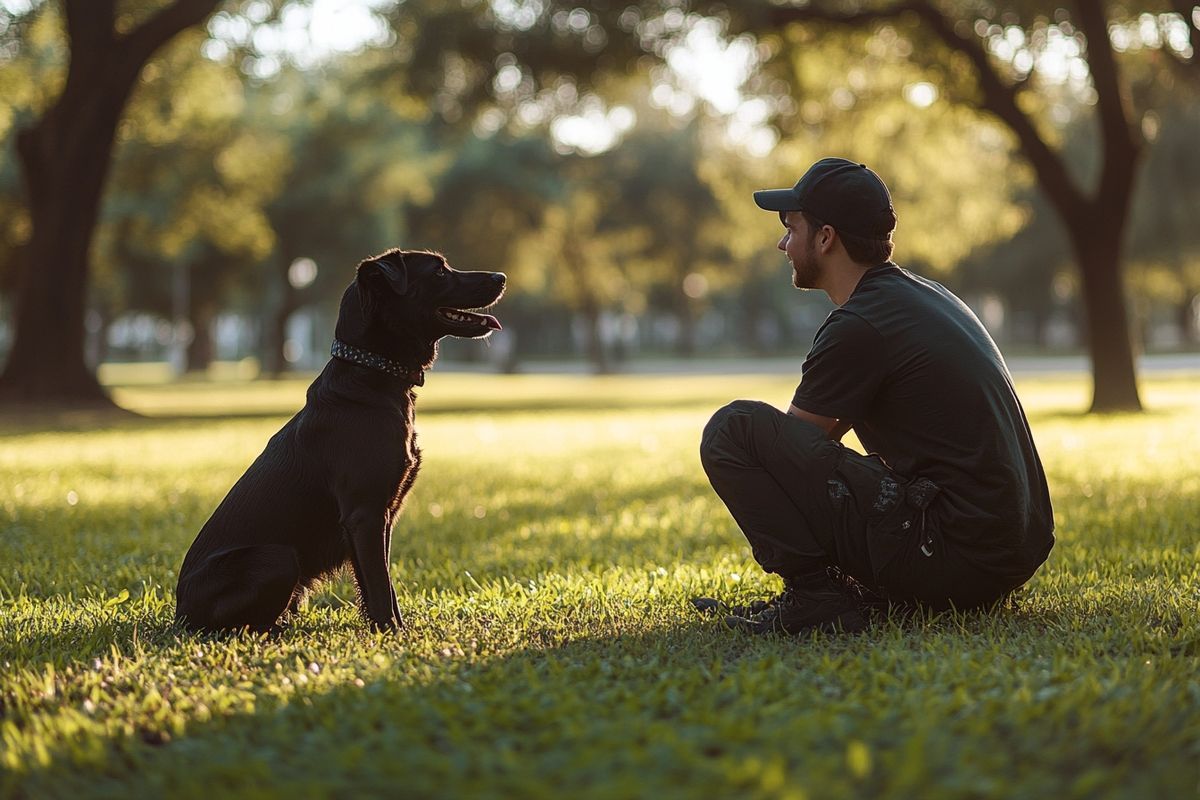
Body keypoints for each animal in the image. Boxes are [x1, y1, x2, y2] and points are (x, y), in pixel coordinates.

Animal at [174, 247, 501, 633]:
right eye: (438, 272)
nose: (500, 277)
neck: (372, 372)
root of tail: (180, 611)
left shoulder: (381, 516)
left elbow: (381, 585)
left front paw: (392, 629)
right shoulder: (365, 514)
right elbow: (378, 585)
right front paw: (393, 634)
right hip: (277, 557)